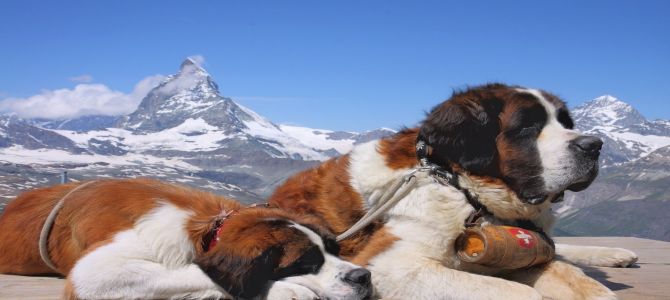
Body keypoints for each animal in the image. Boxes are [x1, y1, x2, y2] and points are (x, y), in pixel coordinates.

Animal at [0, 179, 376, 298]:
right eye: (306, 263)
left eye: (333, 248)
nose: (363, 276)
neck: (210, 227)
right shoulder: (95, 271)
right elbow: (196, 272)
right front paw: (288, 289)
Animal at [270, 84, 640, 300]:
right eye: (528, 127)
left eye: (566, 124)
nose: (594, 145)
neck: (459, 185)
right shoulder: (388, 265)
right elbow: (519, 292)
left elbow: (565, 270)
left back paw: (614, 254)